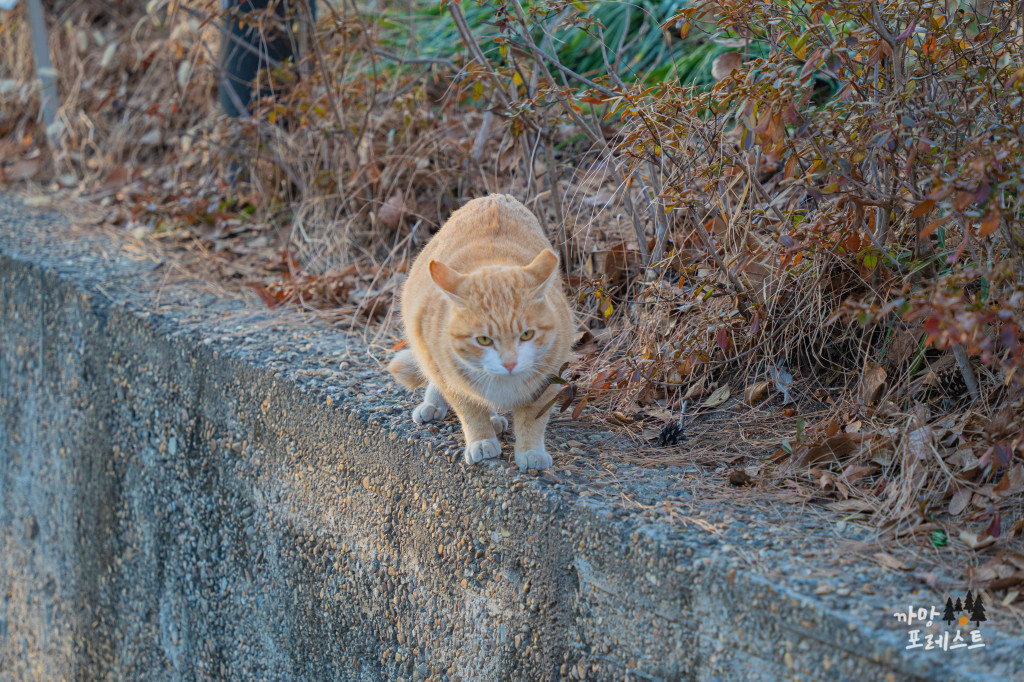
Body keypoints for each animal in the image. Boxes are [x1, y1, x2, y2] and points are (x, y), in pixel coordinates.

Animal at [387, 191, 577, 466]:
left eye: (527, 334)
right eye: (484, 340)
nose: (510, 363)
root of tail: (494, 196)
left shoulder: (548, 377)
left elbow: (532, 419)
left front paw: (531, 451)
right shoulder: (454, 378)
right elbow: (471, 411)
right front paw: (482, 440)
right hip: (427, 346)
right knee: (435, 377)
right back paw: (439, 405)